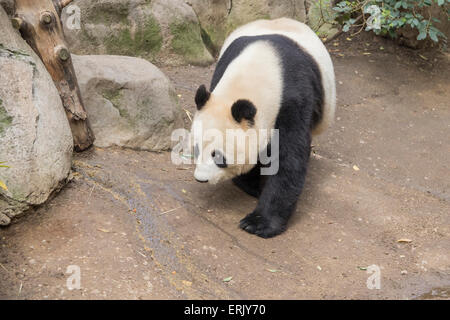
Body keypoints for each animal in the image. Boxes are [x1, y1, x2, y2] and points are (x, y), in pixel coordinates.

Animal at [190, 17, 334, 238]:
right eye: (197, 149)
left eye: (218, 156)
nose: (201, 179)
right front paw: (251, 184)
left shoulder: (294, 100)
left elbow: (289, 158)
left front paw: (258, 223)